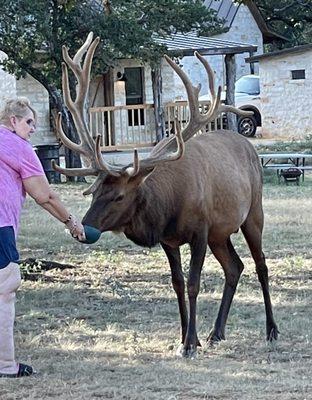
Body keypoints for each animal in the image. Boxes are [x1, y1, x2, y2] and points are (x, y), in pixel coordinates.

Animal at [52, 32, 280, 358]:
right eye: (94, 192)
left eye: (119, 196)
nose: (84, 229)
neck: (167, 208)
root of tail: (247, 144)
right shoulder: (170, 240)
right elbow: (176, 283)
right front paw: (187, 336)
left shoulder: (200, 231)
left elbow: (194, 284)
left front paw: (190, 344)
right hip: (221, 233)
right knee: (235, 267)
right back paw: (216, 332)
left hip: (252, 213)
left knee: (261, 265)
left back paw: (271, 330)